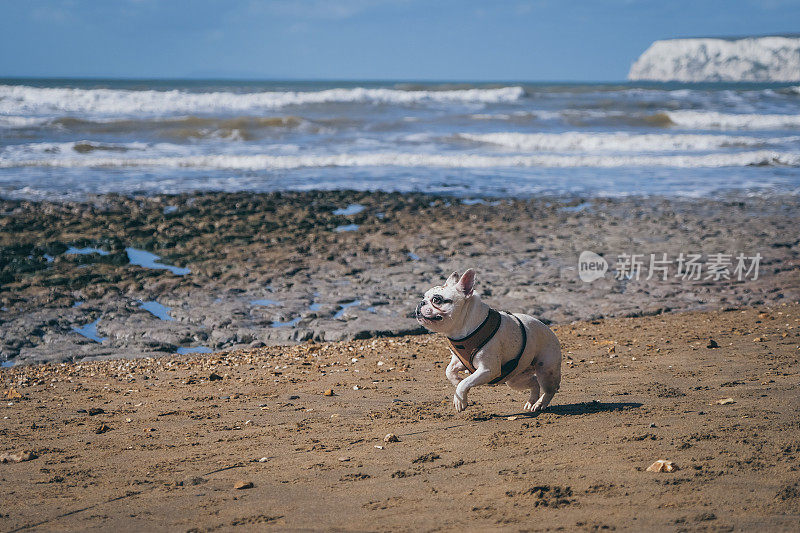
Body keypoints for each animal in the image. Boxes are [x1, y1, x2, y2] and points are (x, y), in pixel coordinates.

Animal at [418, 270, 564, 412]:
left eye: (436, 299)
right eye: (424, 297)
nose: (421, 303)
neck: (463, 327)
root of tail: (550, 330)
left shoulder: (488, 369)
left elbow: (466, 382)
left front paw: (460, 399)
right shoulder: (460, 361)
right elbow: (449, 371)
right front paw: (457, 381)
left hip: (546, 370)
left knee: (550, 390)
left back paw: (540, 404)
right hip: (514, 379)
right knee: (534, 382)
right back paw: (531, 401)